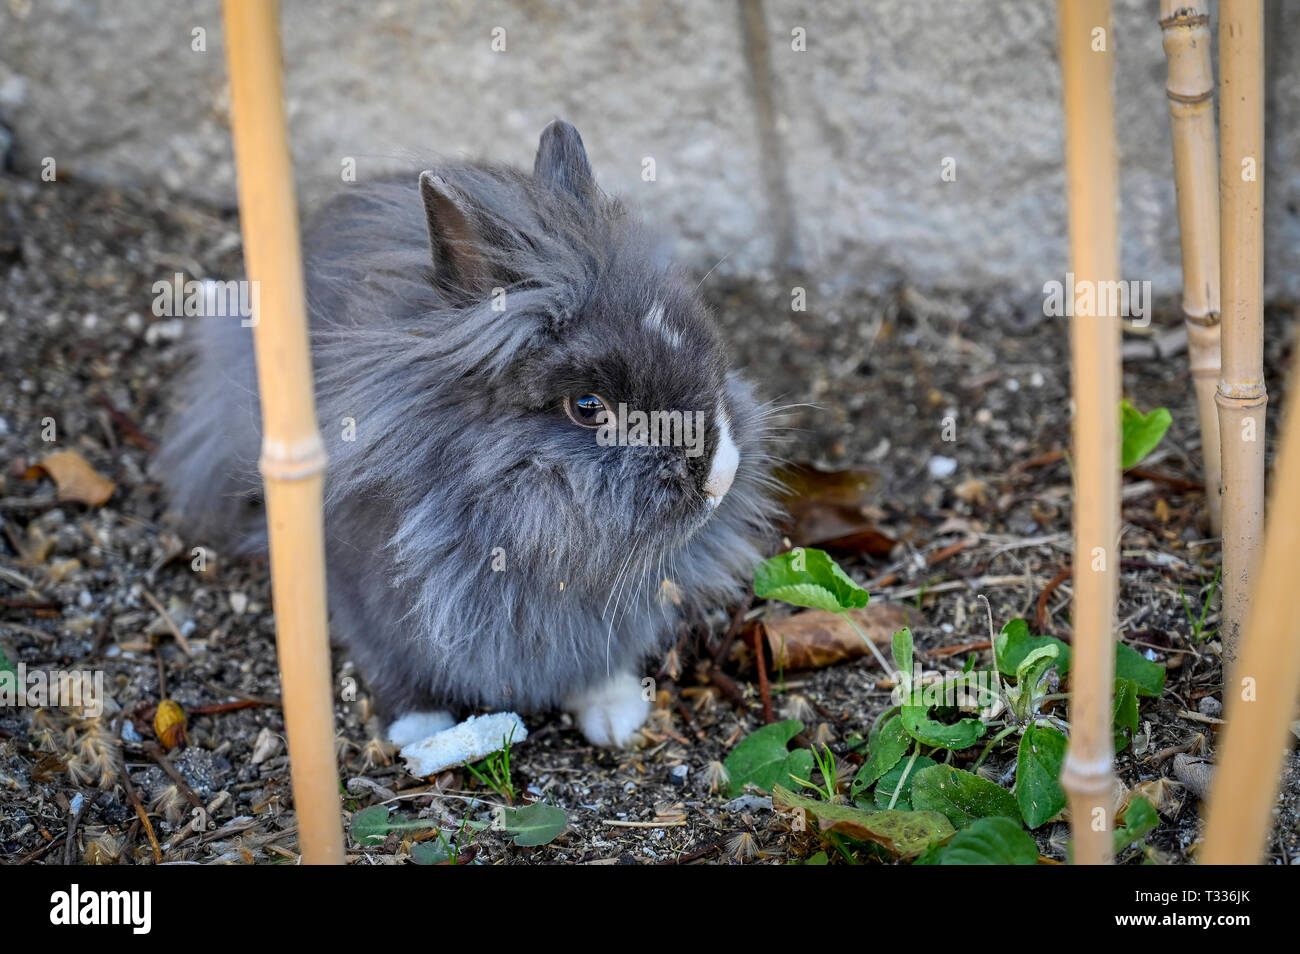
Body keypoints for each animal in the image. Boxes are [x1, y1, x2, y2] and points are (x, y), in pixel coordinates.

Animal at [157, 121, 774, 748]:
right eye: (588, 407)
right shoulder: (371, 599)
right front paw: (417, 729)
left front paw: (613, 714)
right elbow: (393, 663)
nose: (720, 477)